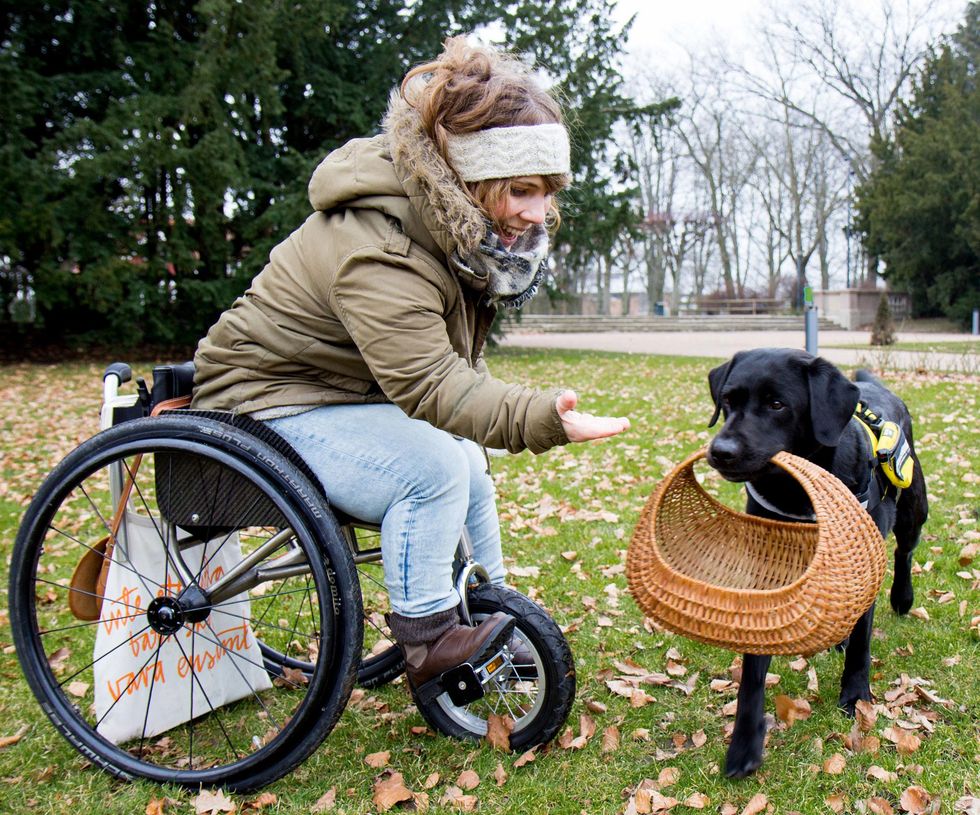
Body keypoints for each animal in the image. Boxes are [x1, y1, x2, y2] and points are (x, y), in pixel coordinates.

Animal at [704, 348, 928, 780]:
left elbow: (862, 645)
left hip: (913, 509)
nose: (720, 450)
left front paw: (856, 697)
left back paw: (902, 598)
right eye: (727, 400)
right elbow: (753, 674)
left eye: (777, 404)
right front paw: (744, 744)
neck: (797, 493)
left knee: (904, 553)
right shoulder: (766, 578)